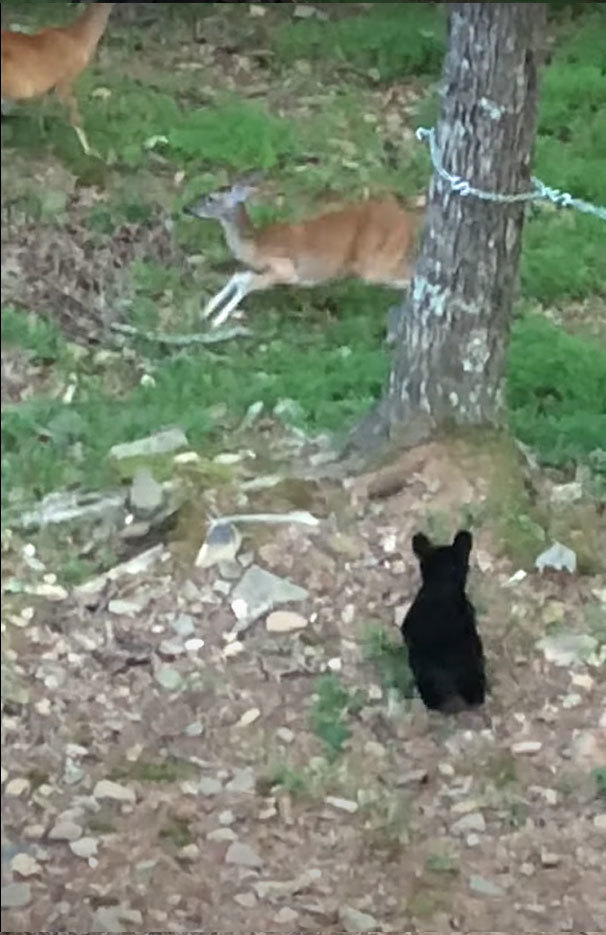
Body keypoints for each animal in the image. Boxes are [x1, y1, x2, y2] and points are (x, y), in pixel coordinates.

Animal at [183, 181, 426, 330]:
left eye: (210, 198)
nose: (186, 208)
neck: (255, 245)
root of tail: (408, 219)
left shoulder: (285, 270)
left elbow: (246, 284)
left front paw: (216, 320)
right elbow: (238, 277)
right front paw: (206, 311)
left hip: (376, 261)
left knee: (409, 276)